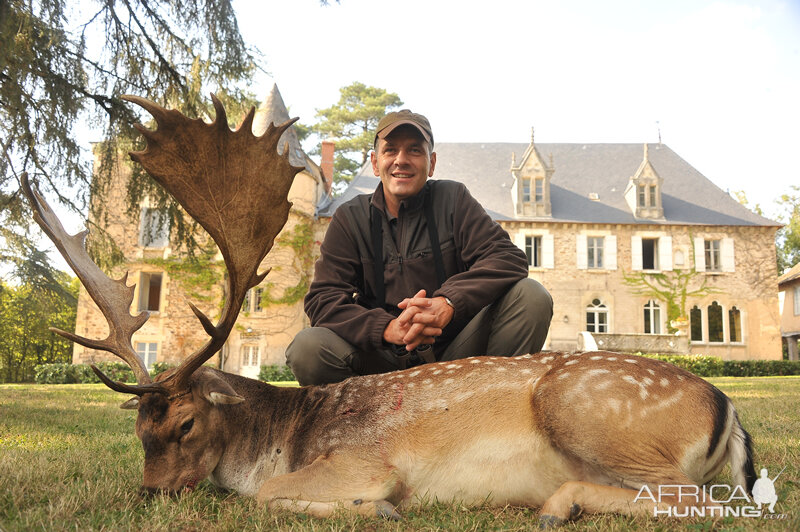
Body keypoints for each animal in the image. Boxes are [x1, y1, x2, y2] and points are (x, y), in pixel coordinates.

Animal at [21, 94, 752, 524]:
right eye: (137, 430)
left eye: (185, 424)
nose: (148, 495)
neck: (284, 438)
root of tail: (727, 408)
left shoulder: (365, 461)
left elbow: (274, 496)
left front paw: (378, 510)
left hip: (592, 411)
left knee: (701, 500)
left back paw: (556, 503)